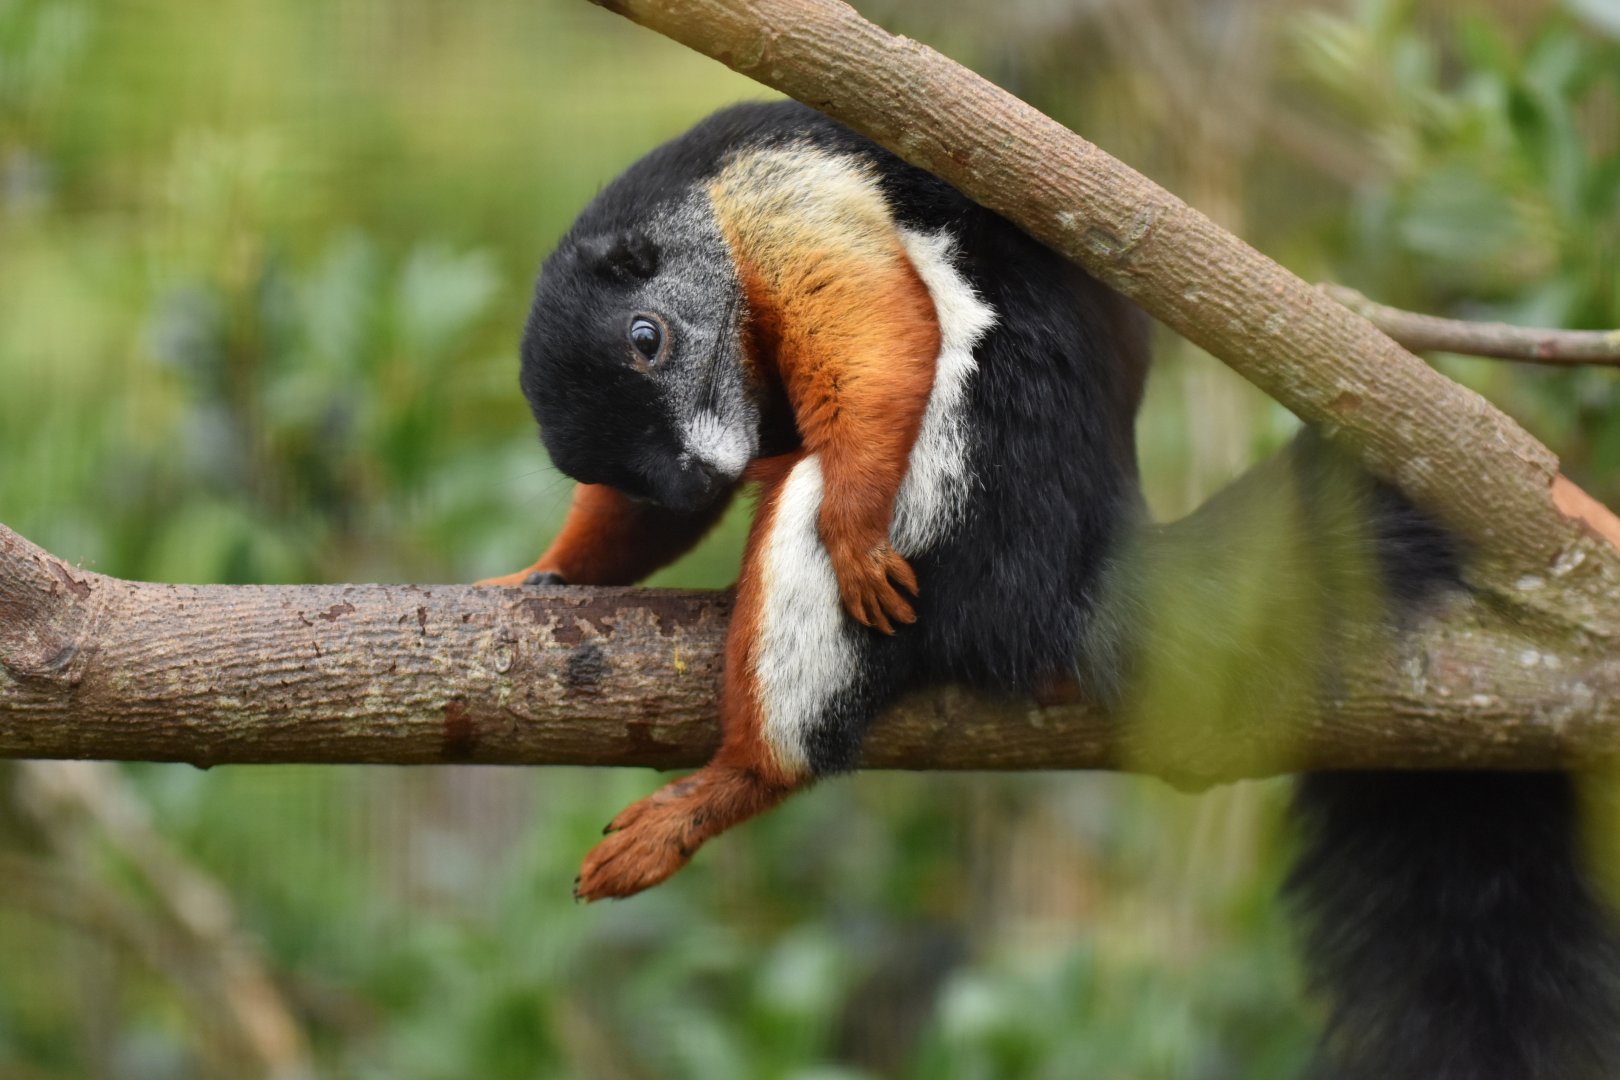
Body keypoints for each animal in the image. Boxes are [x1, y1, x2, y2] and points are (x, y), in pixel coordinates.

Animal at [482, 101, 1620, 1078]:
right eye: (600, 458)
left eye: (648, 339)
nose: (693, 478)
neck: (688, 201)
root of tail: (1069, 577)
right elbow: (642, 524)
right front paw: (539, 570)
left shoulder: (787, 199)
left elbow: (876, 336)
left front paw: (844, 523)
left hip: (950, 501)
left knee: (817, 608)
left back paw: (727, 783)